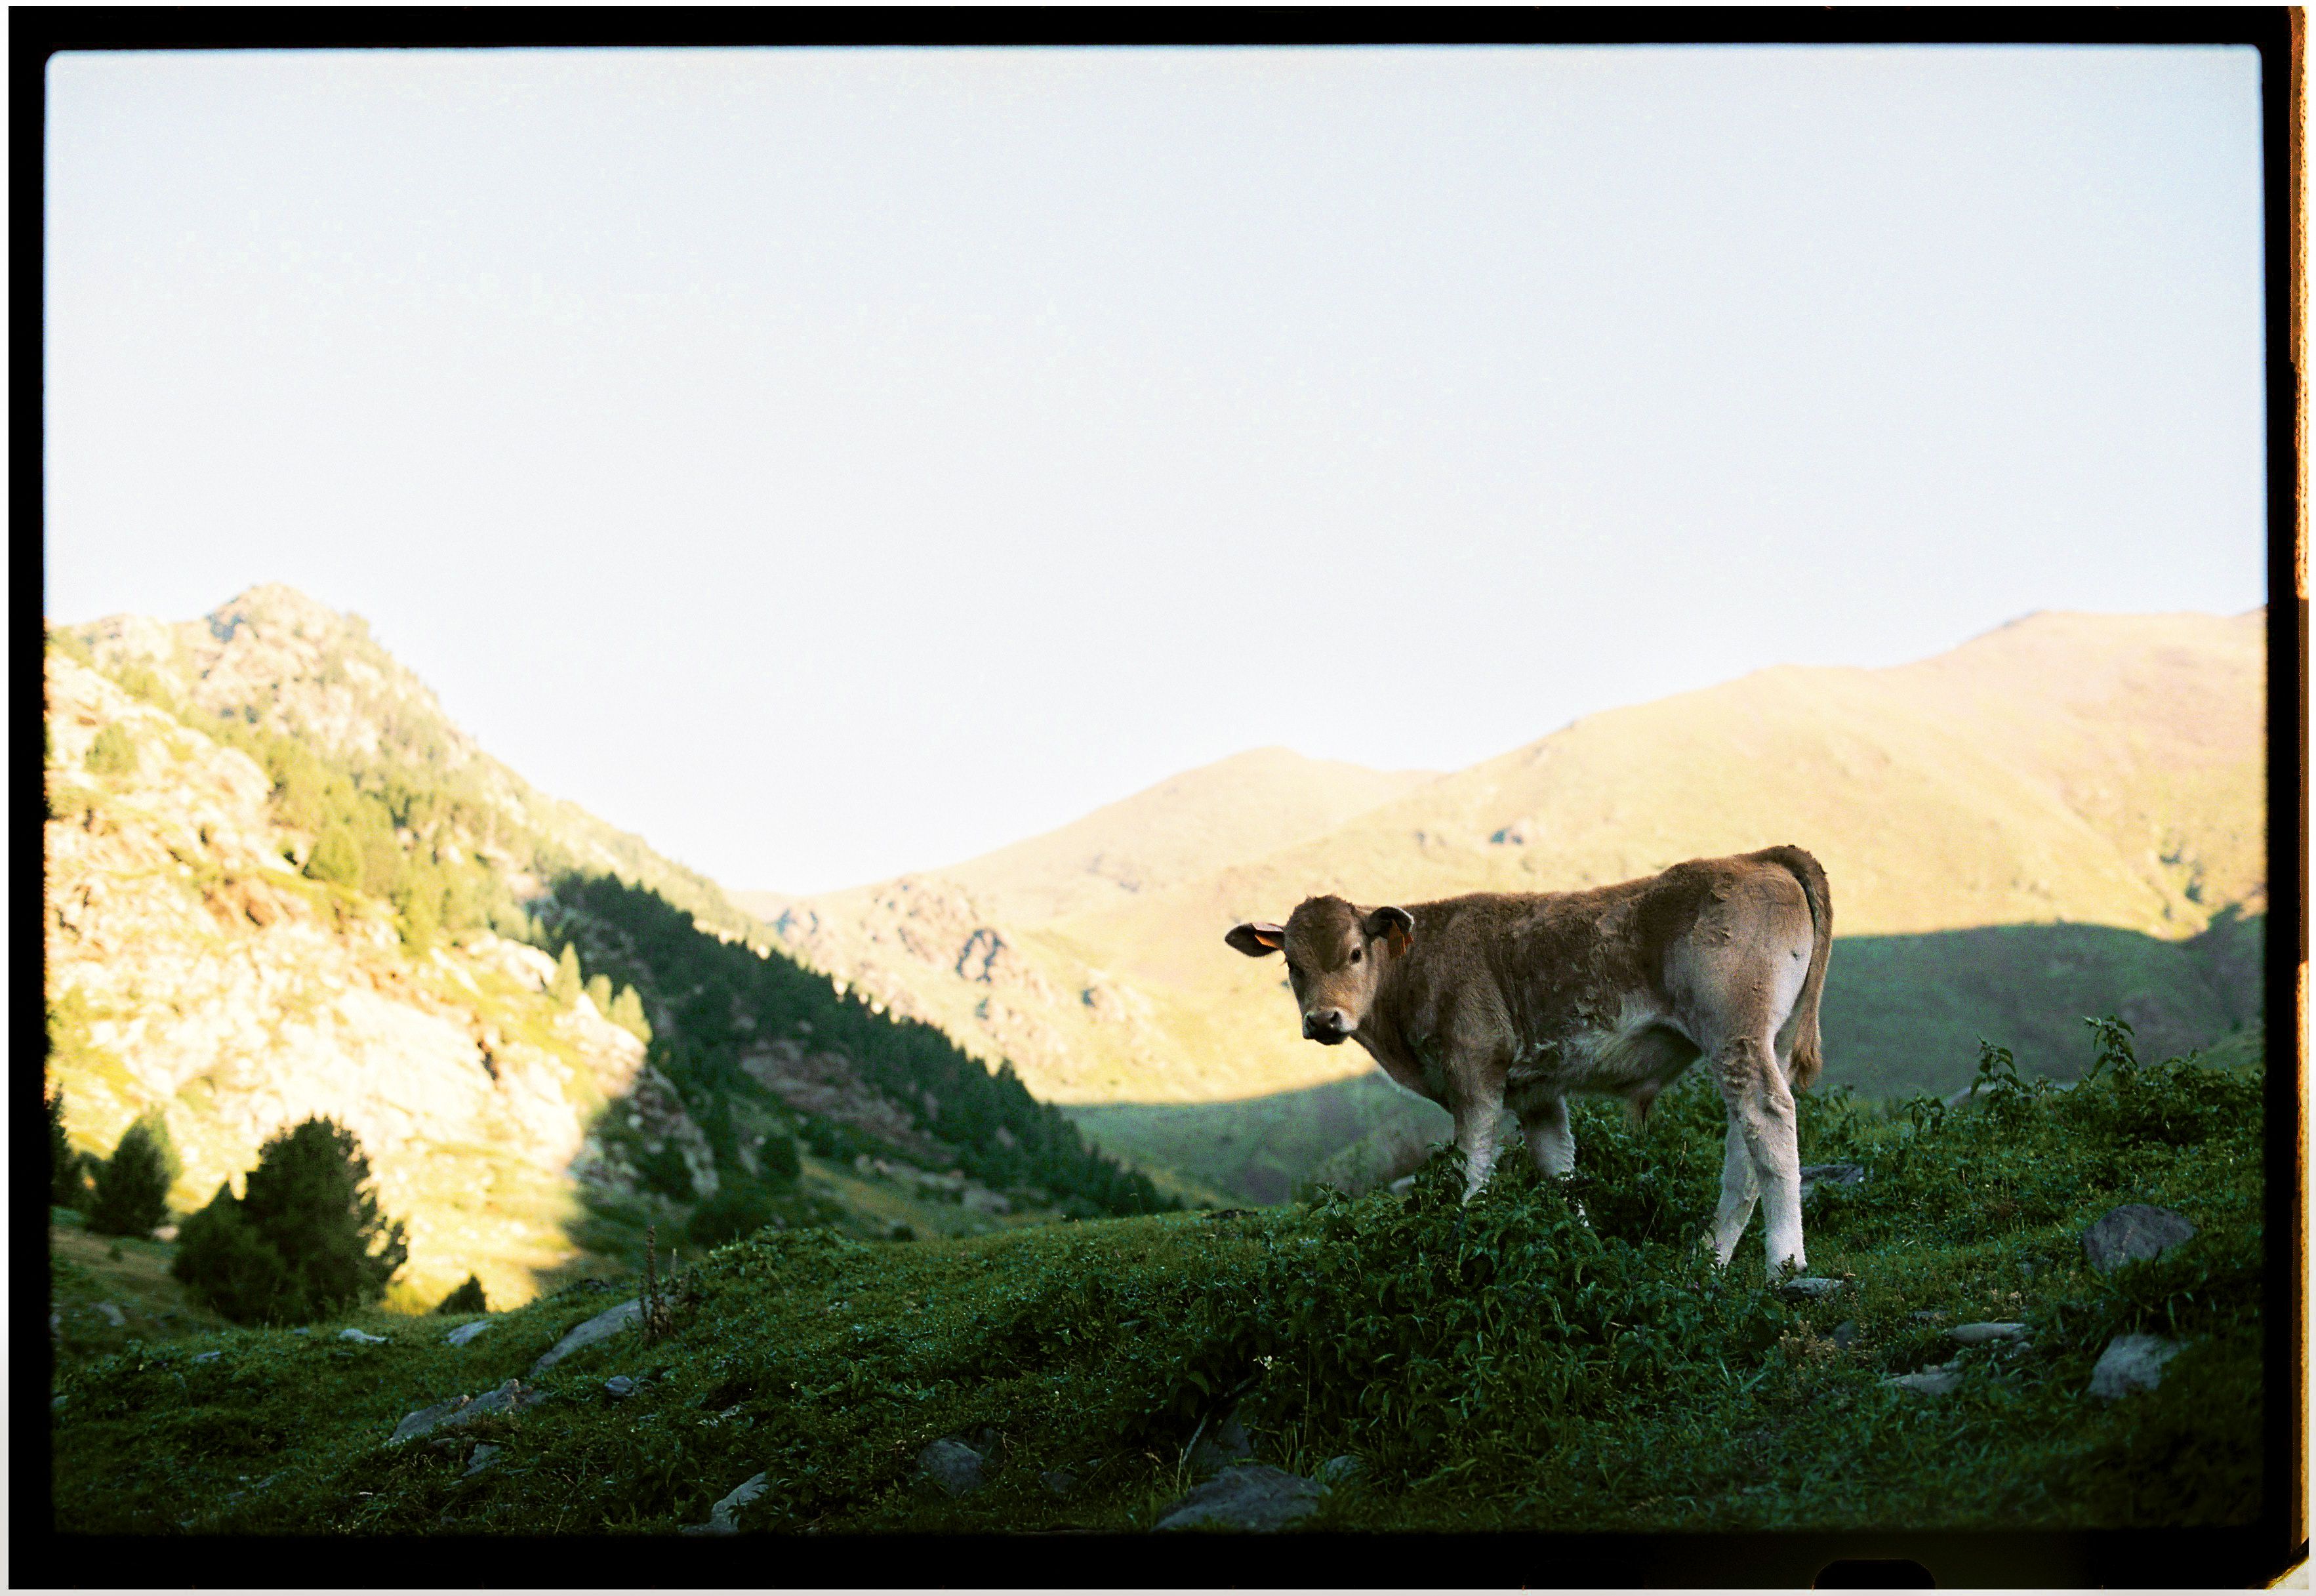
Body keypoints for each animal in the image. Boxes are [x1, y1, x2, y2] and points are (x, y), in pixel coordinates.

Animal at [1226, 845, 1832, 1271]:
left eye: (1354, 953)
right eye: (1292, 964)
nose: (1323, 1020)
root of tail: (1758, 856)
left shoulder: (1473, 1072)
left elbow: (1472, 1170)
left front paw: (1460, 1244)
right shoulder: (1538, 1093)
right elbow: (1559, 1170)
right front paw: (1584, 1250)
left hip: (1734, 1029)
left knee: (1768, 1117)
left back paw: (1784, 1264)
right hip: (1767, 1038)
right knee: (1743, 1144)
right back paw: (1706, 1262)